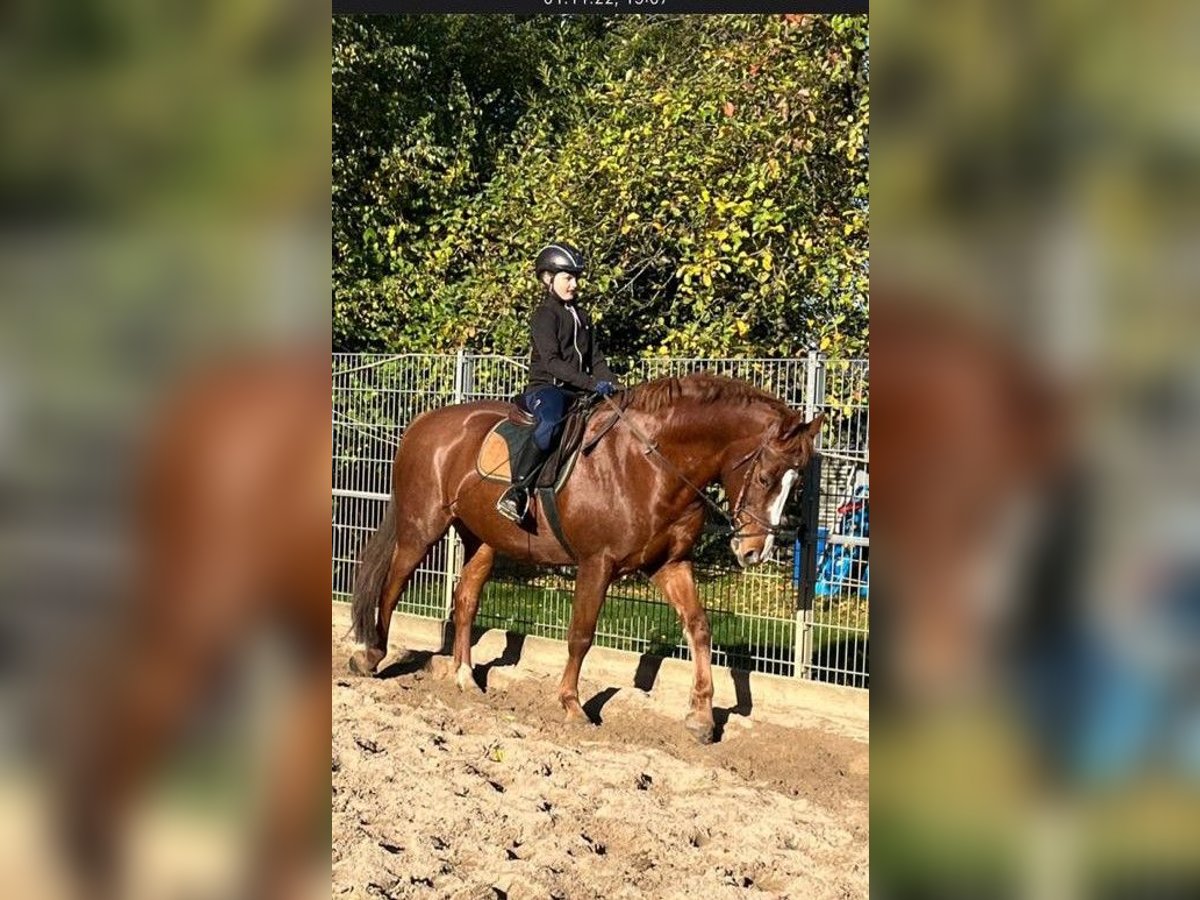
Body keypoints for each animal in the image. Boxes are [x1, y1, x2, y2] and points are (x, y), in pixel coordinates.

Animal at [348, 374, 825, 748]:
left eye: (796, 485)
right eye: (764, 477)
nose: (754, 551)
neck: (652, 465)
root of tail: (425, 423)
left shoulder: (671, 564)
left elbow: (699, 628)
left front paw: (702, 718)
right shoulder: (598, 564)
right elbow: (581, 635)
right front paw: (572, 705)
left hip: (481, 539)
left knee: (464, 598)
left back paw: (465, 676)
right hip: (421, 528)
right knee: (393, 585)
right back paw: (370, 656)